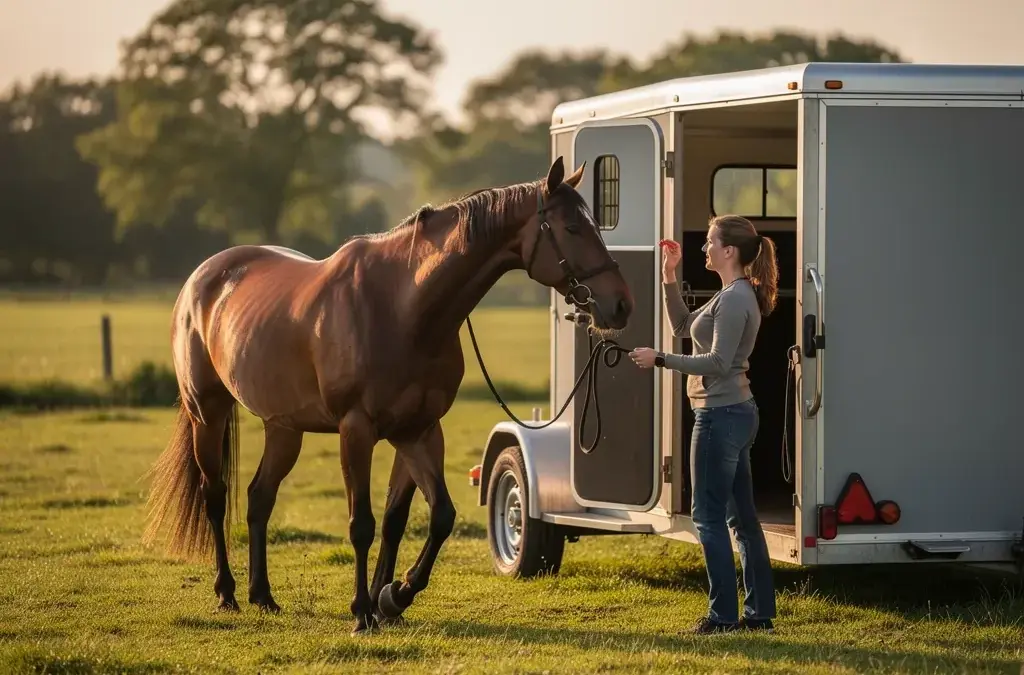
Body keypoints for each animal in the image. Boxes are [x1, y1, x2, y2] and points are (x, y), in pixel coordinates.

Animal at [141, 156, 635, 635]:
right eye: (572, 228)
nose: (621, 305)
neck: (403, 308)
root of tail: (202, 278)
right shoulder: (356, 430)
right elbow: (363, 524)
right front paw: (363, 610)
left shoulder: (418, 431)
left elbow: (426, 516)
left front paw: (393, 597)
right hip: (208, 413)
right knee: (215, 495)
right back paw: (226, 592)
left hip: (284, 427)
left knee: (259, 497)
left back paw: (263, 595)